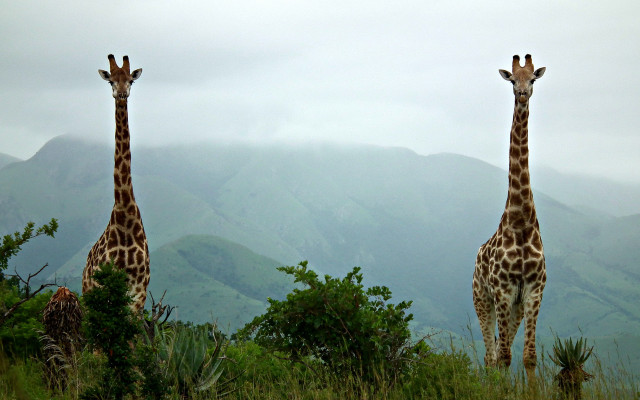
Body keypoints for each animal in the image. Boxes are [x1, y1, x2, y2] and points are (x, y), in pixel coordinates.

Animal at [82, 54, 149, 314]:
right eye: (111, 81)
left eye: (131, 80)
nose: (121, 94)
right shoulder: (105, 289)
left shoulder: (138, 293)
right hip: (88, 293)